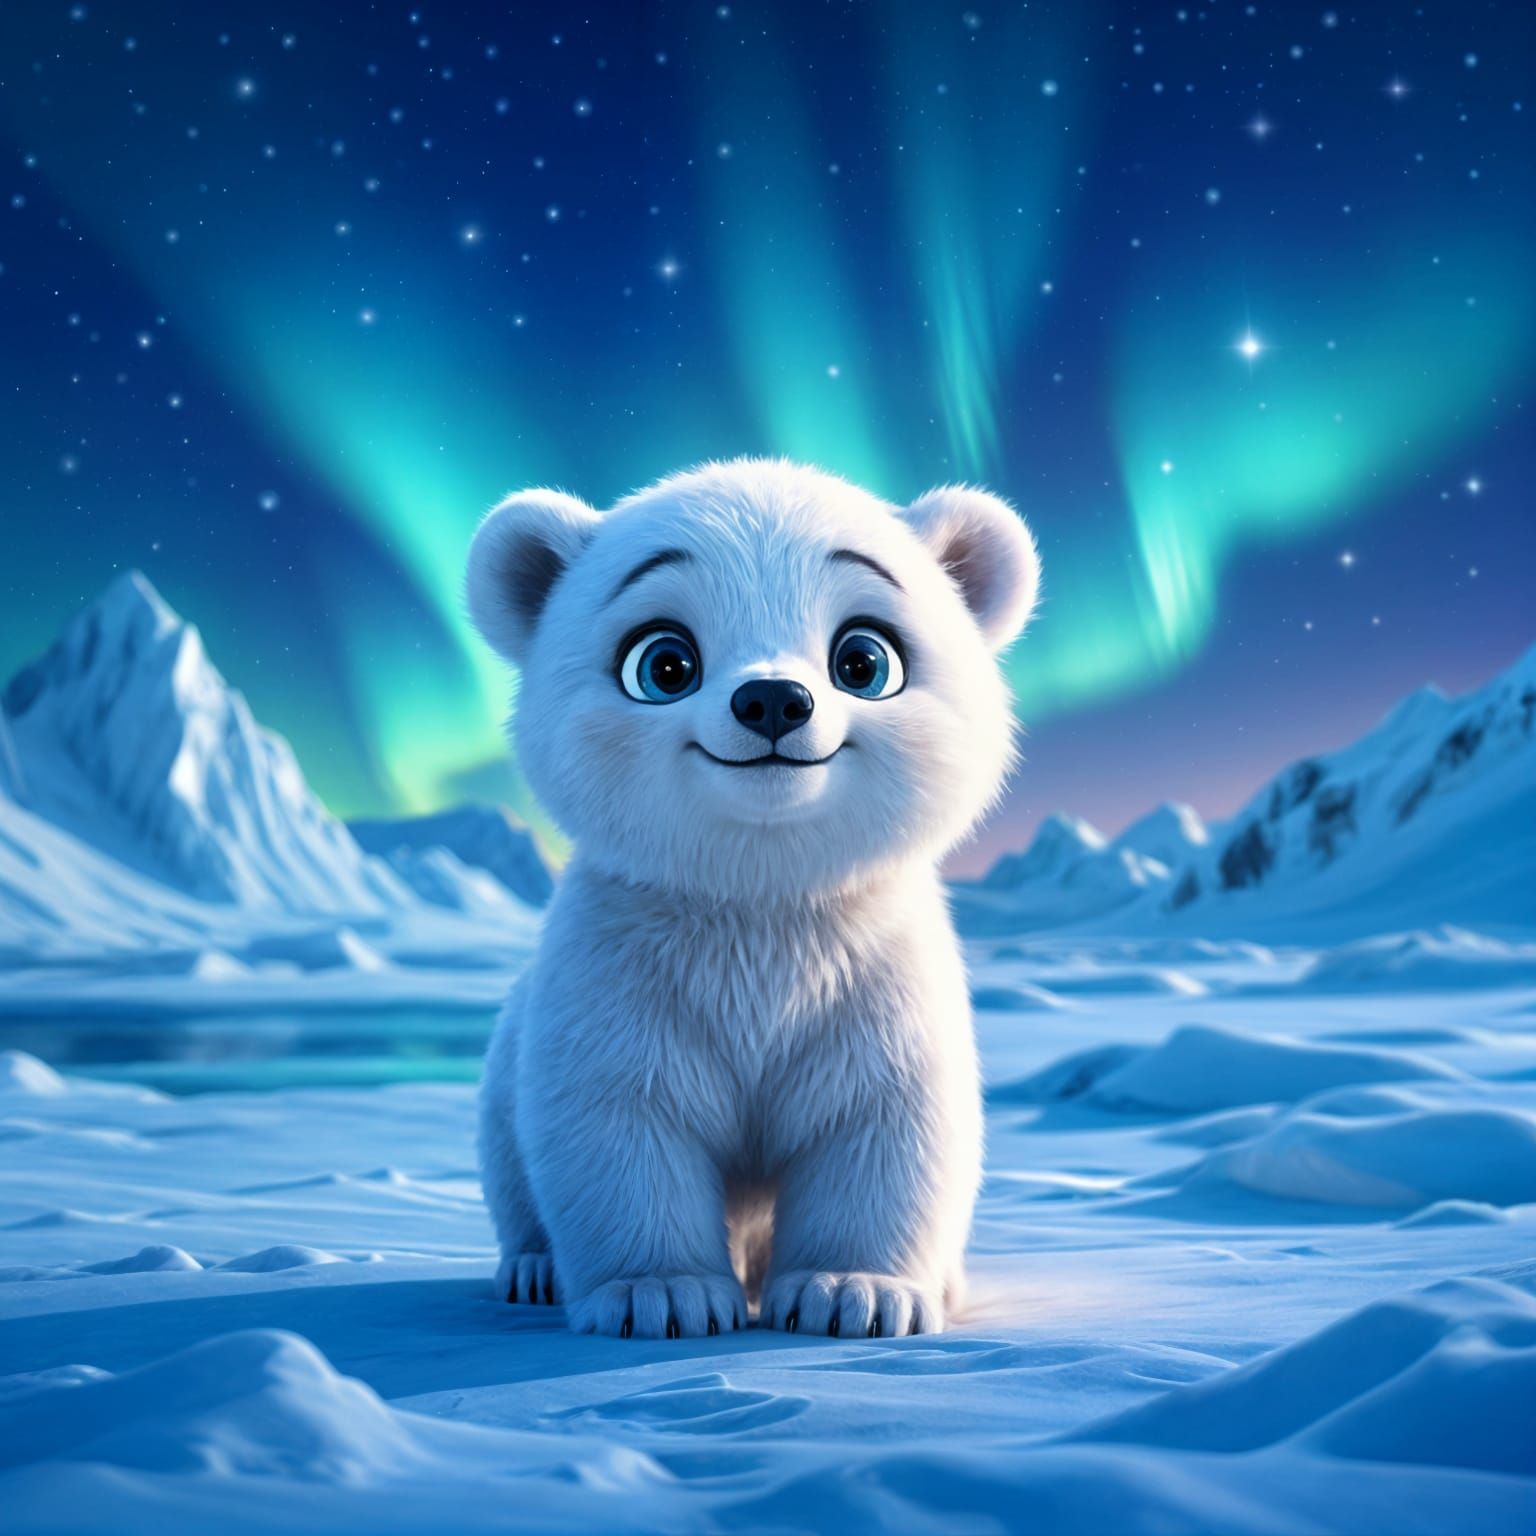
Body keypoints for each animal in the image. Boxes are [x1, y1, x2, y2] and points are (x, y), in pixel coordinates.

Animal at [466, 458, 1039, 1339]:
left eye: (864, 659)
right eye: (663, 663)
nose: (772, 699)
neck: (760, 898)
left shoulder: (870, 986)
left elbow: (884, 1125)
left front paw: (854, 1294)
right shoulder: (623, 979)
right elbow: (617, 1123)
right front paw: (659, 1296)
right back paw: (534, 1269)